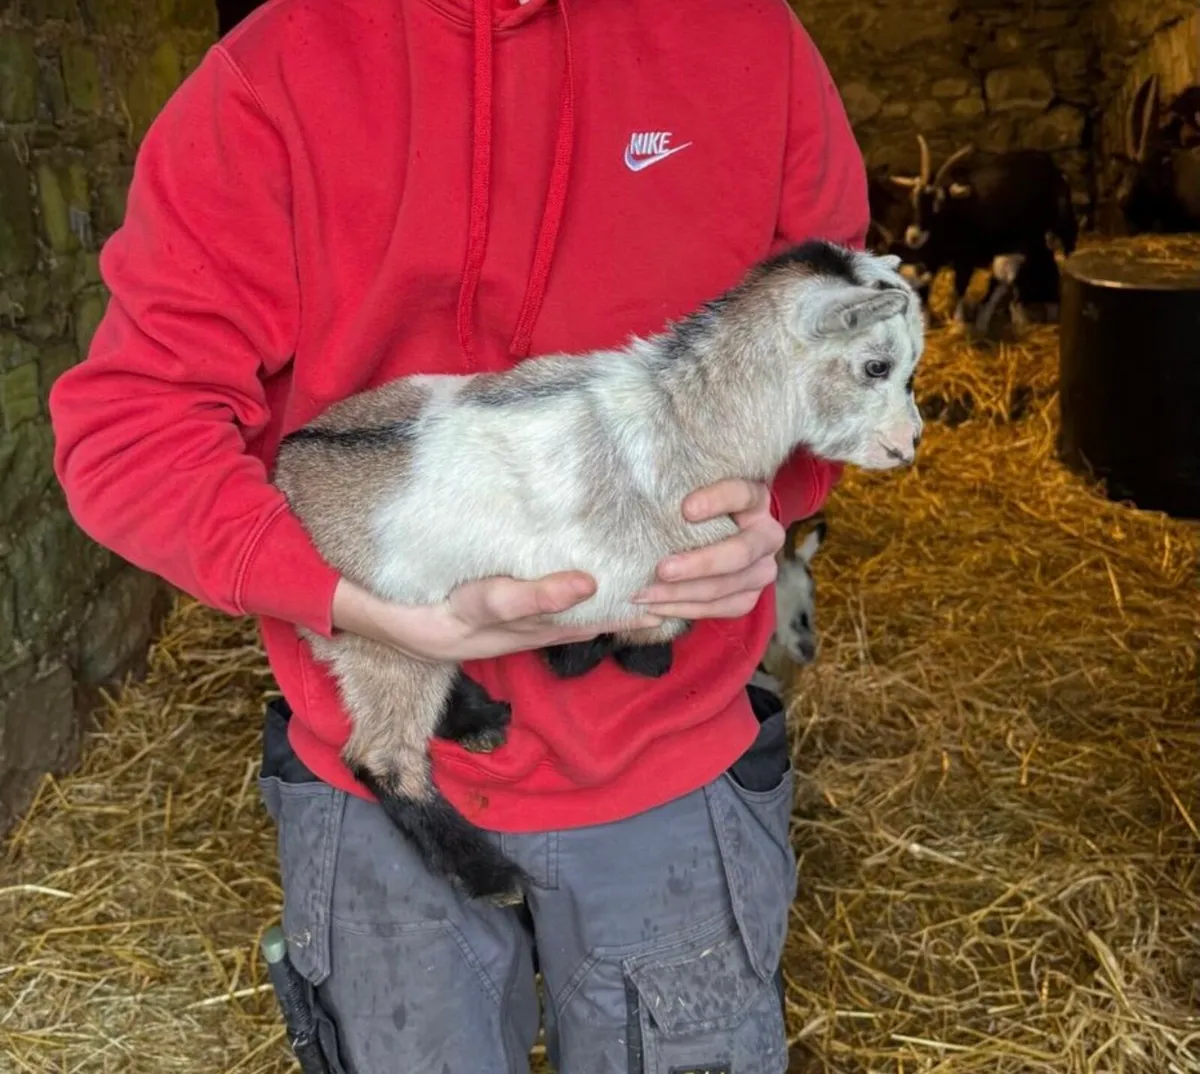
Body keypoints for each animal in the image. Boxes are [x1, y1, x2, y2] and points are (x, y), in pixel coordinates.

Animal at [271, 240, 925, 904]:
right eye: (877, 366)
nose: (910, 444)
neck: (690, 422)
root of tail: (289, 469)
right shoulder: (625, 580)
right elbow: (639, 637)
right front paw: (619, 658)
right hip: (382, 643)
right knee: (381, 757)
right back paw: (490, 874)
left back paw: (478, 720)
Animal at [890, 136, 1078, 324]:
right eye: (913, 200)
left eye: (940, 203)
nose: (914, 236)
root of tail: (1049, 164)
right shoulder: (932, 259)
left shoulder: (966, 258)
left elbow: (961, 286)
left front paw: (959, 321)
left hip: (1059, 225)